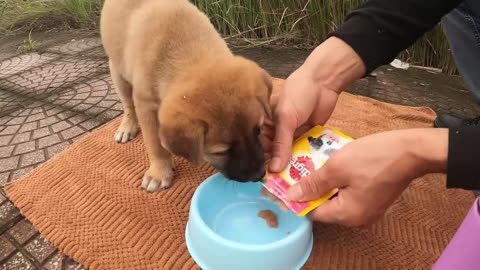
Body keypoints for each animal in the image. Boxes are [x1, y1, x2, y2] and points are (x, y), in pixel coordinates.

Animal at [99, 0, 272, 191]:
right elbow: (155, 143)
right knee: (128, 105)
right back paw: (127, 127)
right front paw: (159, 172)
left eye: (258, 130)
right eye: (221, 151)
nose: (259, 175)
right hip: (118, 73)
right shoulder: (146, 105)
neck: (187, 50)